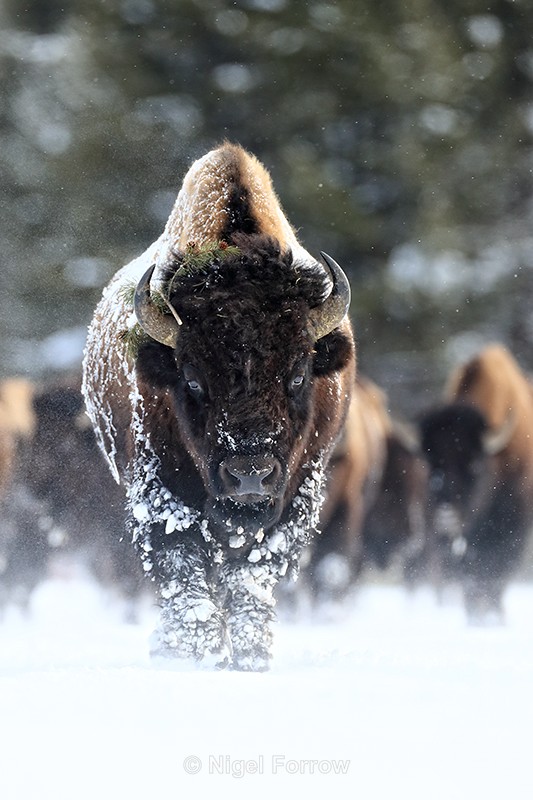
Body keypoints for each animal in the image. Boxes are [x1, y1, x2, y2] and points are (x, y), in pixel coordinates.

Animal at [82, 142, 355, 671]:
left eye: (297, 374)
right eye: (191, 378)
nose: (249, 475)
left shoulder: (294, 498)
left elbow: (250, 574)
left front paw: (250, 655)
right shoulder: (160, 492)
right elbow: (181, 563)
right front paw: (191, 650)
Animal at [418, 344, 533, 623]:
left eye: (474, 464)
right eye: (431, 463)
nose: (445, 517)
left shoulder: (513, 529)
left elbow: (496, 573)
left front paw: (493, 617)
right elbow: (468, 575)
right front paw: (476, 617)